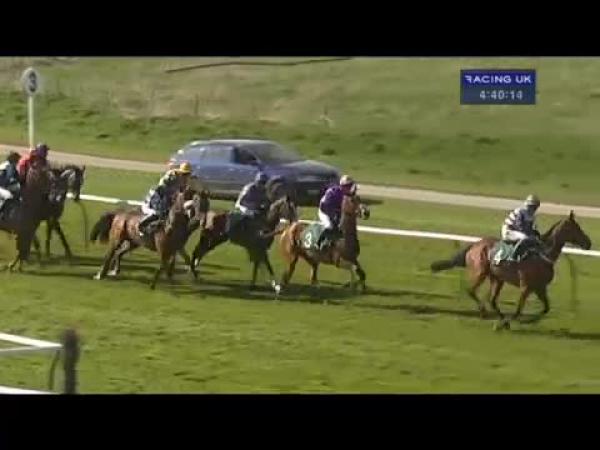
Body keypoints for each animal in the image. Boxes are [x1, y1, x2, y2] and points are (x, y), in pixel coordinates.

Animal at [430, 211, 592, 328]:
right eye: (576, 228)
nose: (588, 243)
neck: (542, 254)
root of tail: (475, 245)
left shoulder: (540, 287)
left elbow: (546, 309)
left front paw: (529, 321)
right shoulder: (526, 287)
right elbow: (519, 310)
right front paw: (511, 322)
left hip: (497, 278)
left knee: (492, 300)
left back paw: (499, 318)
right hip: (481, 272)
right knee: (472, 291)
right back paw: (485, 313)